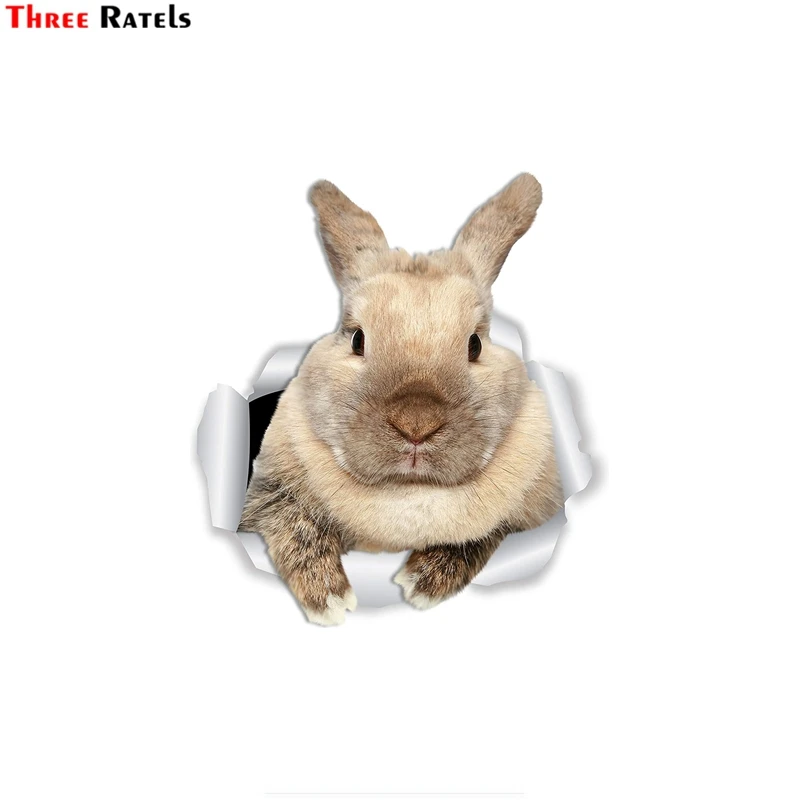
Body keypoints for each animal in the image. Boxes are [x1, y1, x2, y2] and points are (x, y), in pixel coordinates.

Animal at [240, 174, 563, 625]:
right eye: (357, 339)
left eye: (476, 345)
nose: (416, 425)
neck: (407, 491)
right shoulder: (267, 497)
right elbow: (295, 527)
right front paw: (331, 602)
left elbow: (484, 533)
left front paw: (420, 584)